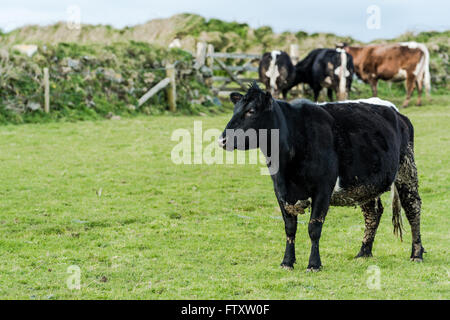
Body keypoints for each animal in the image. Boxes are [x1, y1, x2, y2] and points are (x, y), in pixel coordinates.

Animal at [220, 82, 424, 270]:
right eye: (235, 110)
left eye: (251, 111)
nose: (223, 139)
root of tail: (397, 113)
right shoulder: (280, 190)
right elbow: (290, 228)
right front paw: (287, 262)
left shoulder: (323, 188)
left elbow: (314, 227)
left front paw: (314, 264)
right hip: (365, 184)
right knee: (373, 213)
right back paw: (364, 252)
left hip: (407, 169)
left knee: (412, 207)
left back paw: (416, 253)